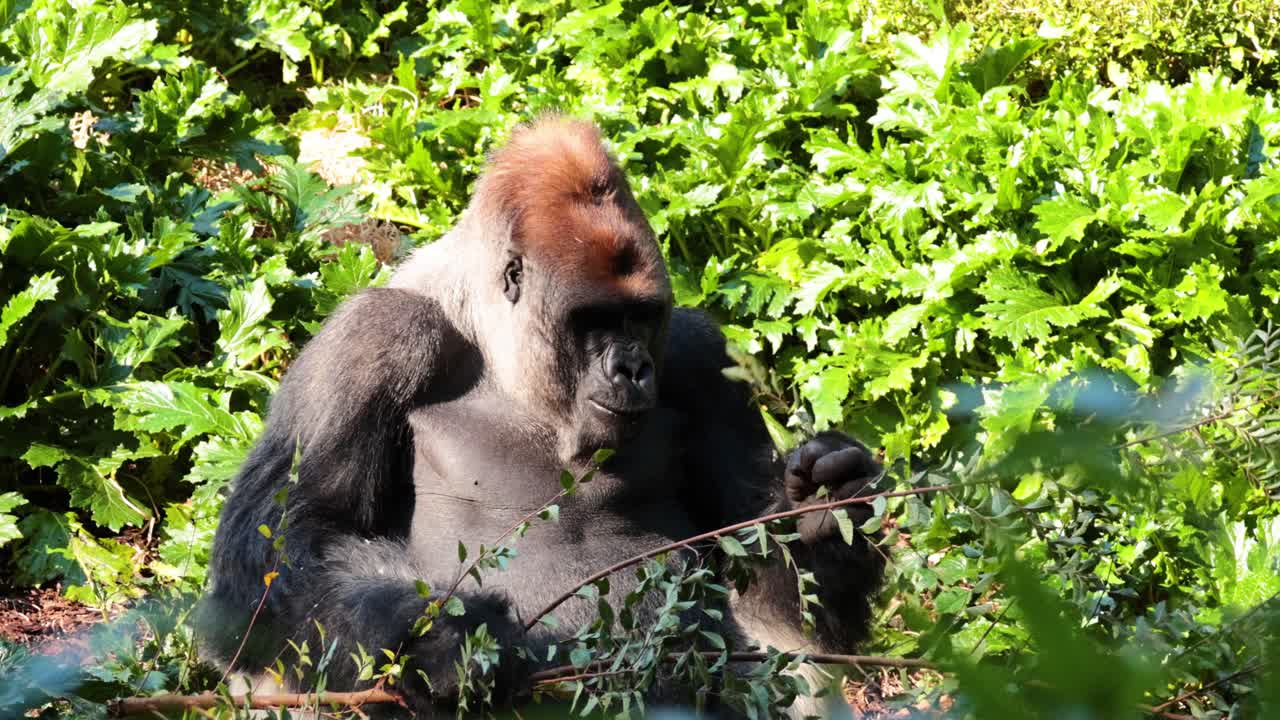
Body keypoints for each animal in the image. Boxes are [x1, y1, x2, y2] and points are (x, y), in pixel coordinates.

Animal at [198, 117, 885, 716]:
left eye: (641, 316)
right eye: (594, 320)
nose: (634, 369)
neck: (499, 353)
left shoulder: (700, 357)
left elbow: (769, 597)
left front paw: (826, 510)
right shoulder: (374, 340)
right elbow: (273, 563)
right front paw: (436, 638)